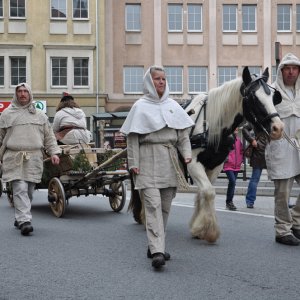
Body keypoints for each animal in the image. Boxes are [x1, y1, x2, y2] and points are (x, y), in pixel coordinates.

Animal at [128, 66, 284, 244]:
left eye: (273, 97)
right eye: (253, 97)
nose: (278, 128)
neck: (212, 126)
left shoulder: (216, 165)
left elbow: (202, 193)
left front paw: (198, 227)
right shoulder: (193, 163)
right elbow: (209, 192)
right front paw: (209, 231)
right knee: (143, 190)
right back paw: (146, 219)